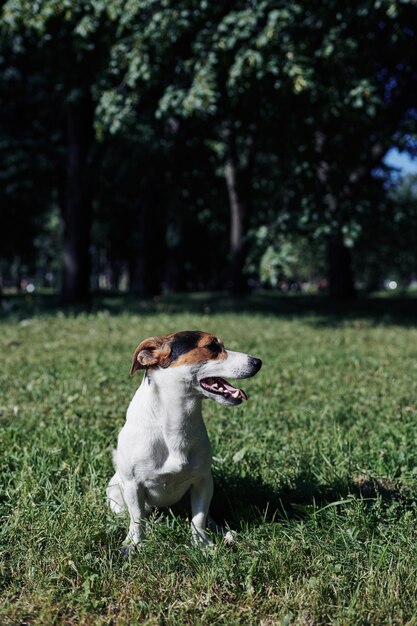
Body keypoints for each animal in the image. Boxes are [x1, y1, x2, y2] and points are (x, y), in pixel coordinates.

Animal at [108, 330, 264, 548]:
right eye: (211, 347)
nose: (258, 362)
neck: (176, 420)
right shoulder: (133, 485)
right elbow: (137, 519)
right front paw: (134, 544)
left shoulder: (203, 481)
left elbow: (198, 518)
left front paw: (202, 544)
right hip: (115, 491)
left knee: (206, 516)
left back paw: (223, 531)